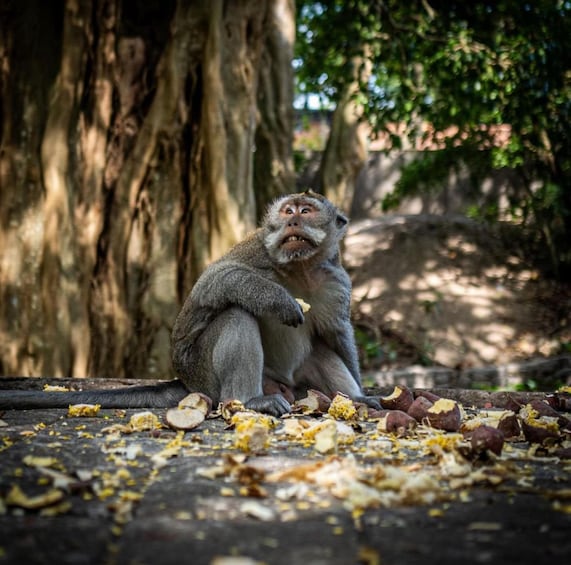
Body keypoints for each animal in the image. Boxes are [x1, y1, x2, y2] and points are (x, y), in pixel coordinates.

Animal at [0, 189, 380, 414]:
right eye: (287, 211)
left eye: (306, 210)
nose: (293, 221)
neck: (299, 269)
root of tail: (186, 383)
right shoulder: (257, 251)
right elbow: (214, 282)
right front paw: (278, 300)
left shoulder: (336, 283)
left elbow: (336, 336)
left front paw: (360, 392)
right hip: (205, 377)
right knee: (236, 314)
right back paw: (249, 400)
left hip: (295, 386)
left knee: (319, 351)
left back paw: (352, 399)